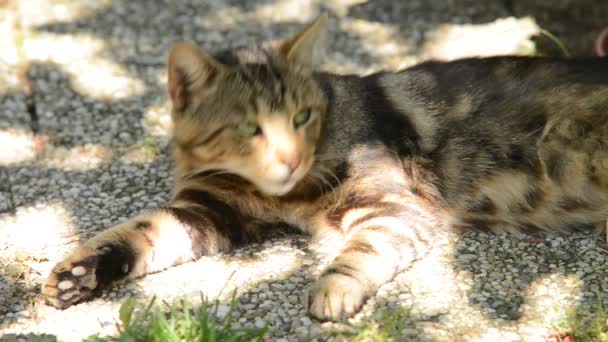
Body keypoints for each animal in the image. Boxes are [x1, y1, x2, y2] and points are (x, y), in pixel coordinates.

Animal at [45, 13, 608, 322]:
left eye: (302, 117)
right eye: (249, 128)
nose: (291, 157)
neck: (277, 195)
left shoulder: (395, 204)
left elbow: (362, 250)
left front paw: (334, 288)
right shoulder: (206, 211)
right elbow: (138, 232)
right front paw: (80, 272)